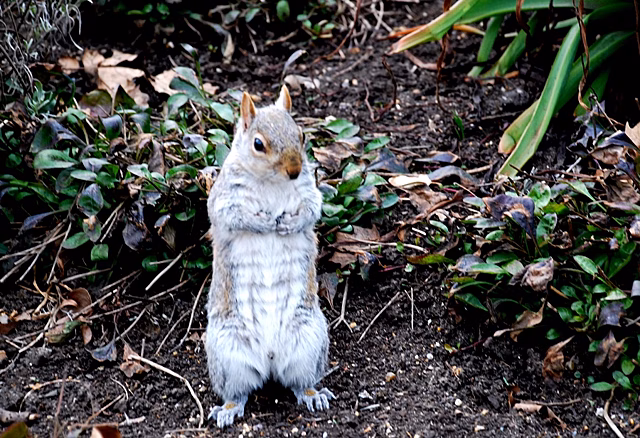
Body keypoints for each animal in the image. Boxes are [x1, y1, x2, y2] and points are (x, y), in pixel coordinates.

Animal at [205, 85, 335, 428]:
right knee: (238, 391)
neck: (272, 182)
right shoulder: (224, 198)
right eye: (258, 144)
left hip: (309, 338)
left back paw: (312, 394)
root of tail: (270, 357)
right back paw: (228, 409)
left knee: (299, 381)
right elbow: (232, 215)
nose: (294, 170)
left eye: (302, 135)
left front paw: (288, 223)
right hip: (227, 350)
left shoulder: (309, 191)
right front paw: (264, 223)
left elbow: (312, 210)